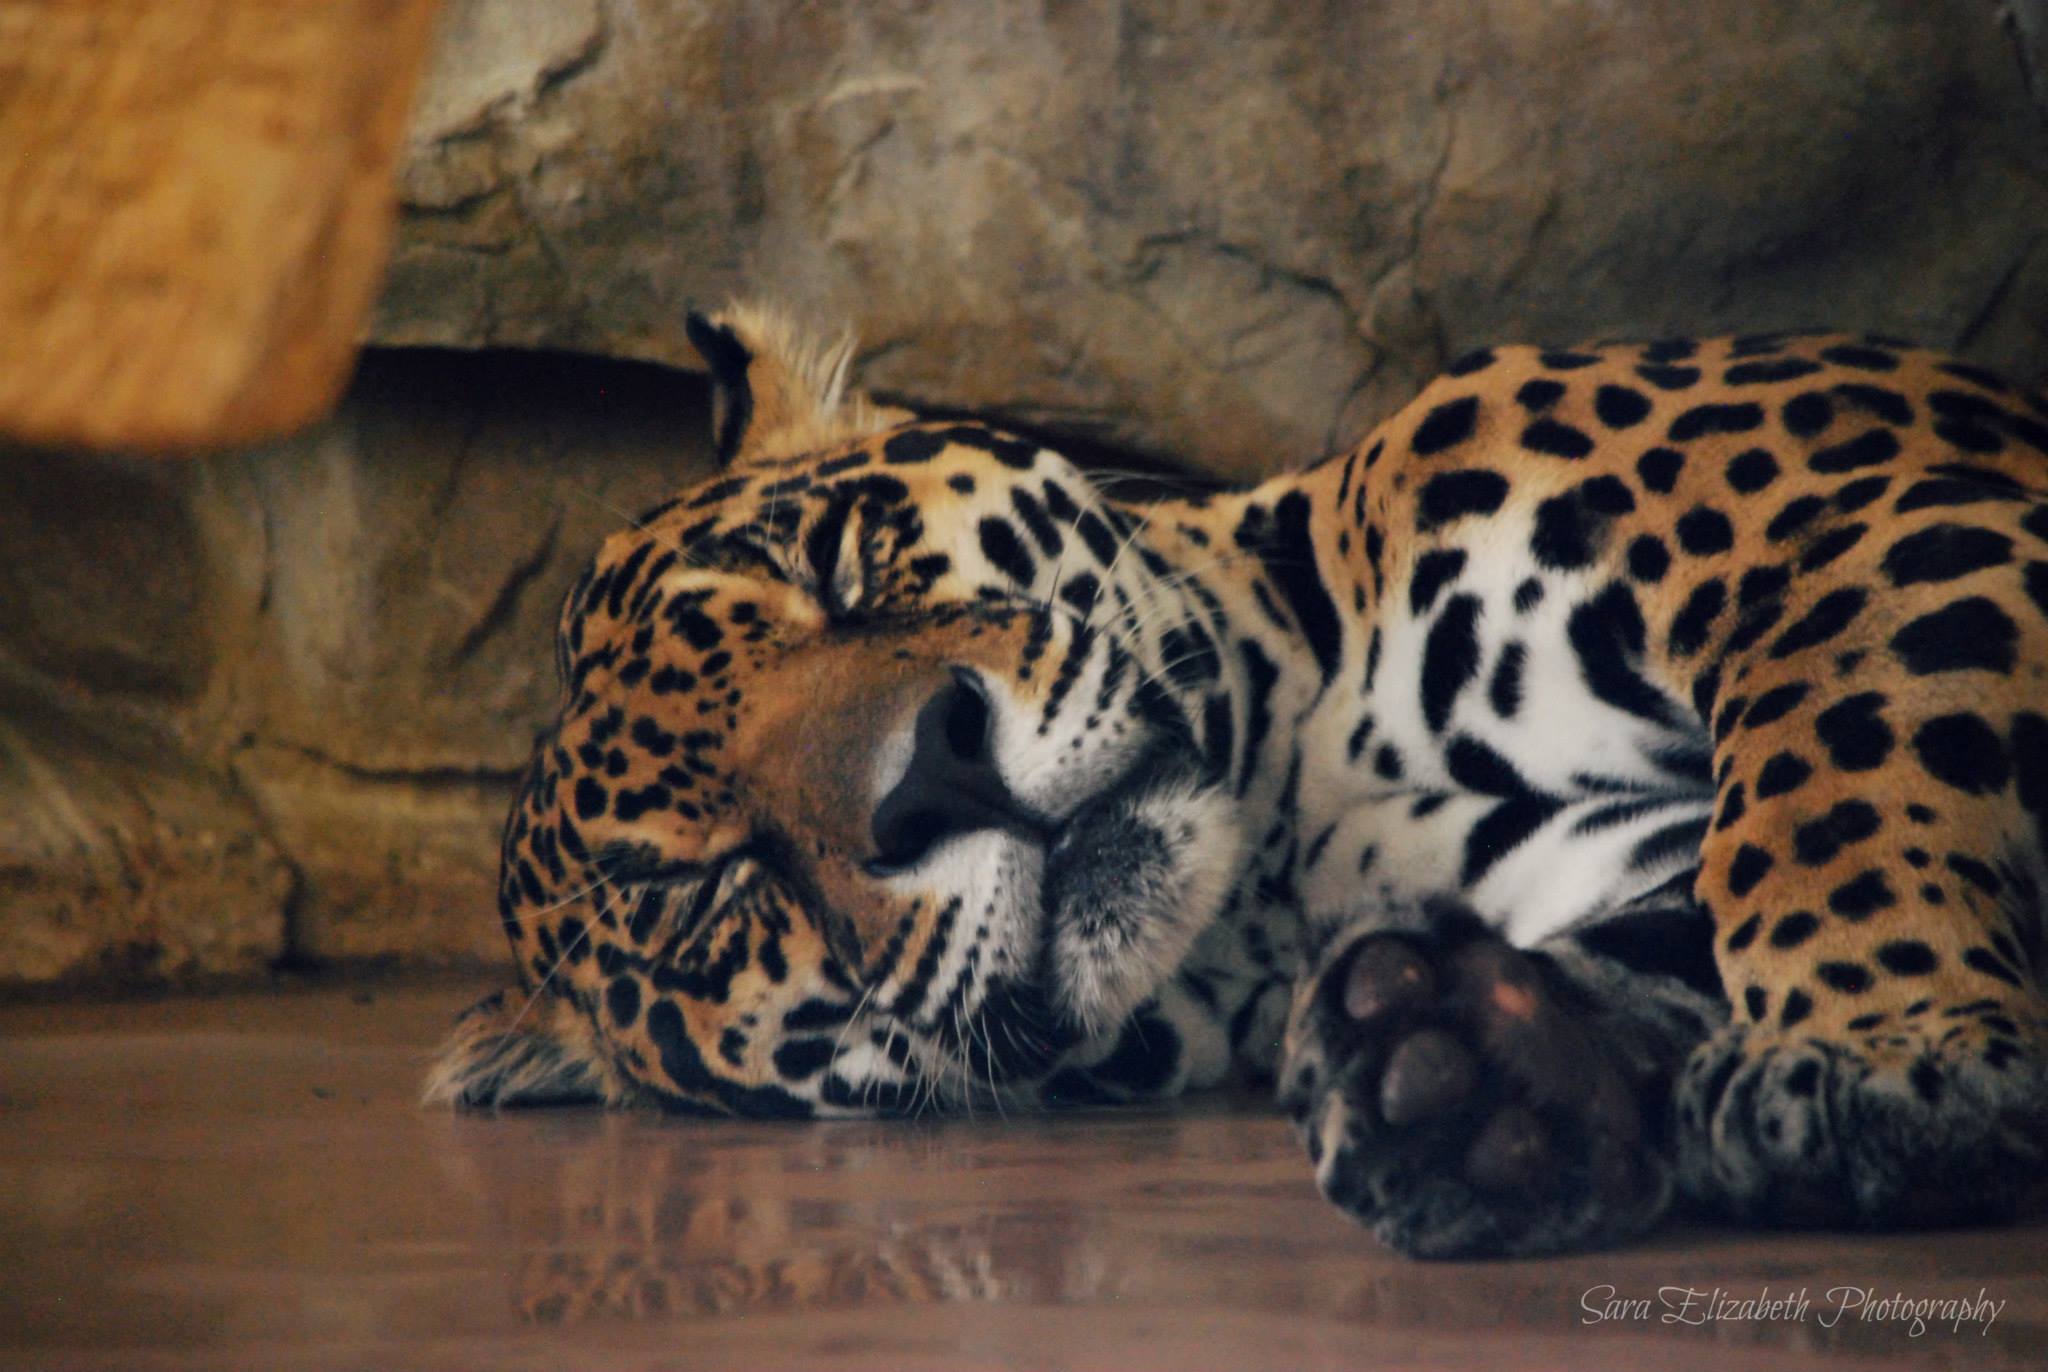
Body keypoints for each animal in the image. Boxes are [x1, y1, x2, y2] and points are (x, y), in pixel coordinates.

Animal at [428, 302, 2048, 1258]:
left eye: (829, 564)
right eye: (703, 888)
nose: (932, 776)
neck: (1295, 834)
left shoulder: (1876, 526)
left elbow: (1821, 792)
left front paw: (1881, 1055)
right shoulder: (1603, 850)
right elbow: (1679, 921)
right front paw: (1486, 1073)